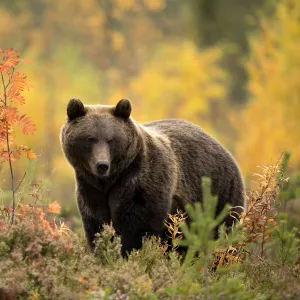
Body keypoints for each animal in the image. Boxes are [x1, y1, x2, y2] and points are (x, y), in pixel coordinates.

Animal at [59, 98, 245, 255]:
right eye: (90, 138)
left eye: (111, 139)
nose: (102, 165)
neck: (111, 179)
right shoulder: (91, 189)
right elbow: (96, 224)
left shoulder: (141, 182)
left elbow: (137, 227)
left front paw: (128, 252)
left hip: (219, 194)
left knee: (224, 232)